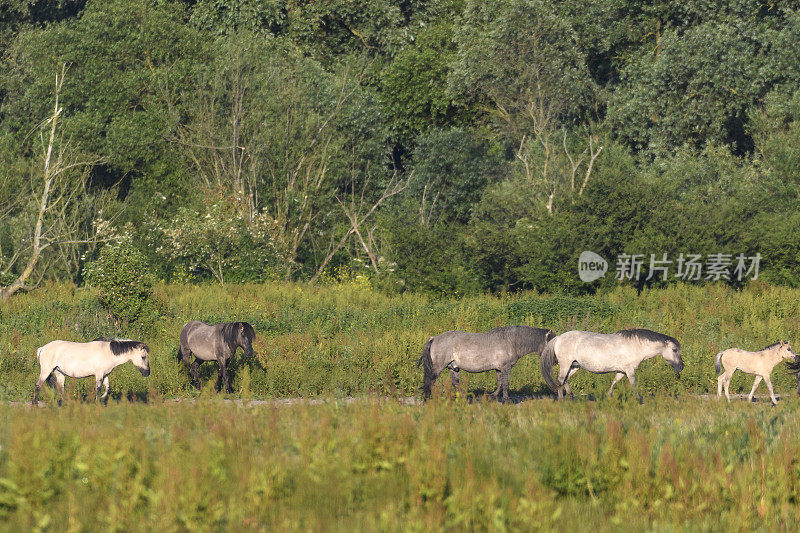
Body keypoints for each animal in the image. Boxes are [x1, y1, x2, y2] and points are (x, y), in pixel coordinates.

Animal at [416, 324, 552, 404]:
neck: (511, 341)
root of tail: (434, 338)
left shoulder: (499, 369)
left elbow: (500, 383)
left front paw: (492, 396)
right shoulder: (506, 368)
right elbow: (505, 384)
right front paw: (506, 400)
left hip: (453, 367)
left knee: (455, 383)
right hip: (438, 367)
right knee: (430, 381)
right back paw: (428, 400)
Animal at [536, 328, 680, 400]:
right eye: (674, 350)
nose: (681, 367)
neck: (635, 345)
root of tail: (559, 338)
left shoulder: (622, 371)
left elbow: (614, 382)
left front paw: (607, 395)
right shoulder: (629, 370)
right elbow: (633, 384)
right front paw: (638, 398)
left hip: (574, 366)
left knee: (565, 379)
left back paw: (571, 395)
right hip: (566, 364)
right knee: (560, 380)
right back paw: (561, 398)